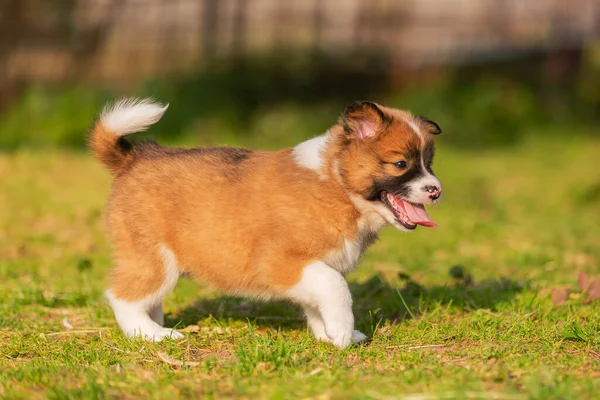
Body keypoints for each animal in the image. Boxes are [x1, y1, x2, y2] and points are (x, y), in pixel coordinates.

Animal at [91, 98, 442, 348]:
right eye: (401, 164)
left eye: (429, 163)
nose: (436, 190)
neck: (335, 182)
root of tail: (133, 157)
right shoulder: (284, 264)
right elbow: (336, 288)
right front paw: (342, 332)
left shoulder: (316, 266)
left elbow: (318, 303)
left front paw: (328, 334)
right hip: (154, 258)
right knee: (123, 296)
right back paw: (151, 334)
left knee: (148, 298)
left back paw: (156, 327)